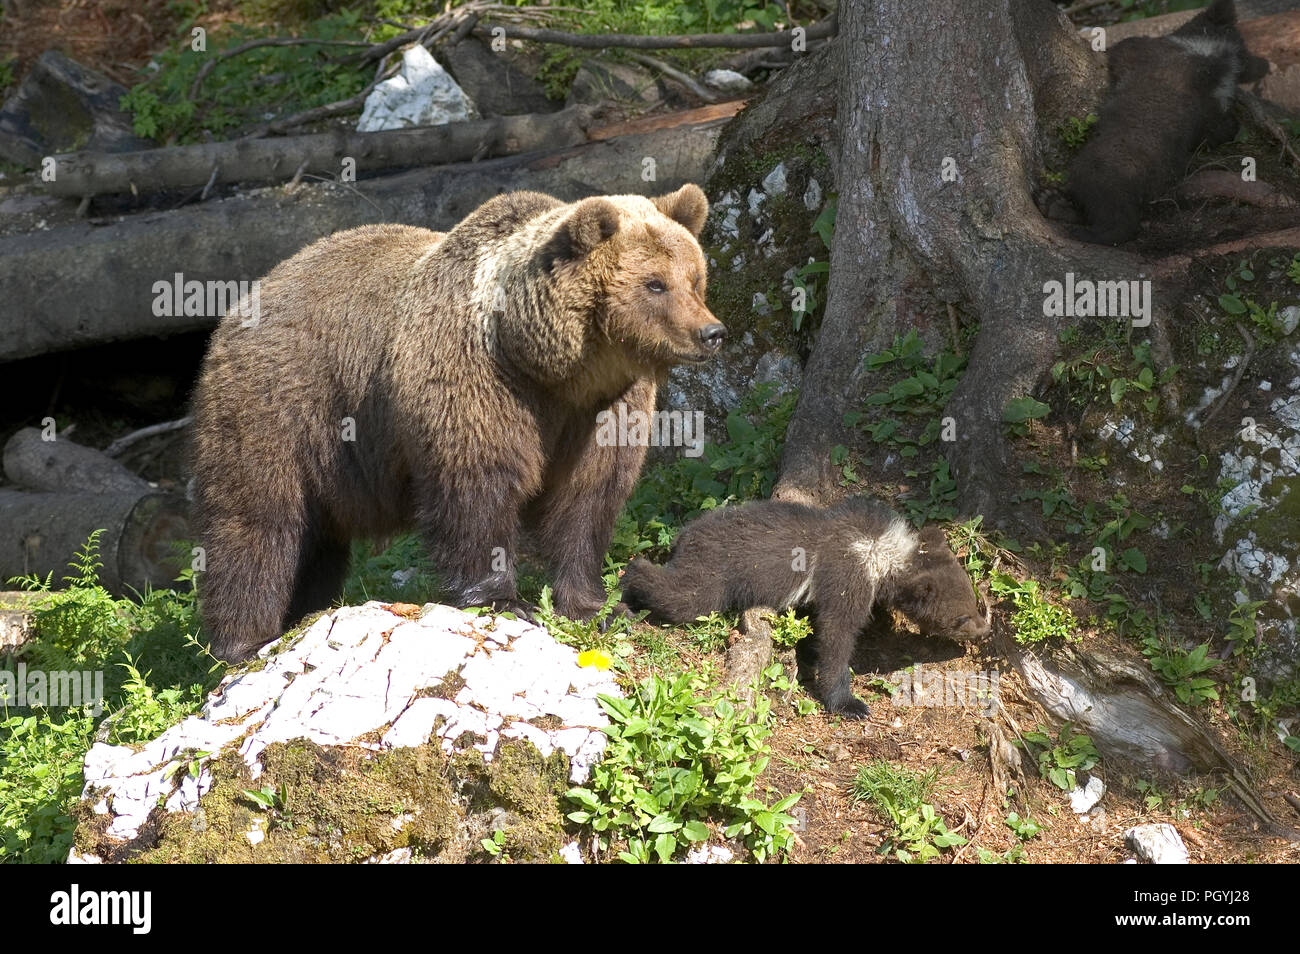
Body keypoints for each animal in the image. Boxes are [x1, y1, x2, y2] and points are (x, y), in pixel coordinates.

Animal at [190, 184, 725, 662]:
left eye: (695, 278)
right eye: (655, 283)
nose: (712, 332)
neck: (554, 368)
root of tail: (247, 298)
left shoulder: (603, 410)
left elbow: (587, 498)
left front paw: (598, 605)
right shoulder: (476, 381)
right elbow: (476, 487)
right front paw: (506, 601)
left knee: (316, 542)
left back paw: (307, 612)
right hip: (278, 406)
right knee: (257, 521)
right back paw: (245, 642)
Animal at [620, 496, 990, 718]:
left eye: (974, 602)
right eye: (961, 617)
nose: (984, 630)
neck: (883, 556)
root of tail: (683, 535)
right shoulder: (845, 576)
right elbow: (836, 634)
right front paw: (850, 702)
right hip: (712, 576)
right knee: (674, 592)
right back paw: (621, 598)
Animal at [1046, 0, 1268, 245]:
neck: (1215, 58)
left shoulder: (1142, 50)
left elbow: (1121, 49)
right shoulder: (1212, 112)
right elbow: (1219, 129)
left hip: (1100, 170)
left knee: (1111, 215)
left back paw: (1063, 212)